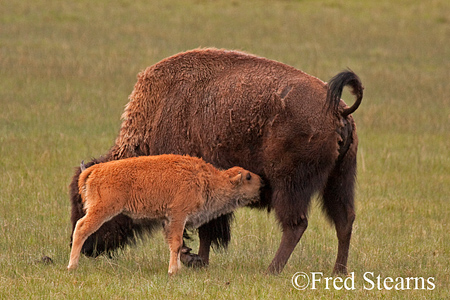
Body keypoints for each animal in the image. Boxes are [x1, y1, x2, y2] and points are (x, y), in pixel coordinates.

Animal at [68, 156, 262, 276]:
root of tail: (94, 170)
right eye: (248, 177)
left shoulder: (168, 221)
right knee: (81, 228)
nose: (262, 182)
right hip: (102, 210)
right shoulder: (178, 216)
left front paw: (177, 269)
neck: (206, 179)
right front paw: (173, 271)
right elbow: (176, 243)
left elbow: (175, 245)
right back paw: (72, 266)